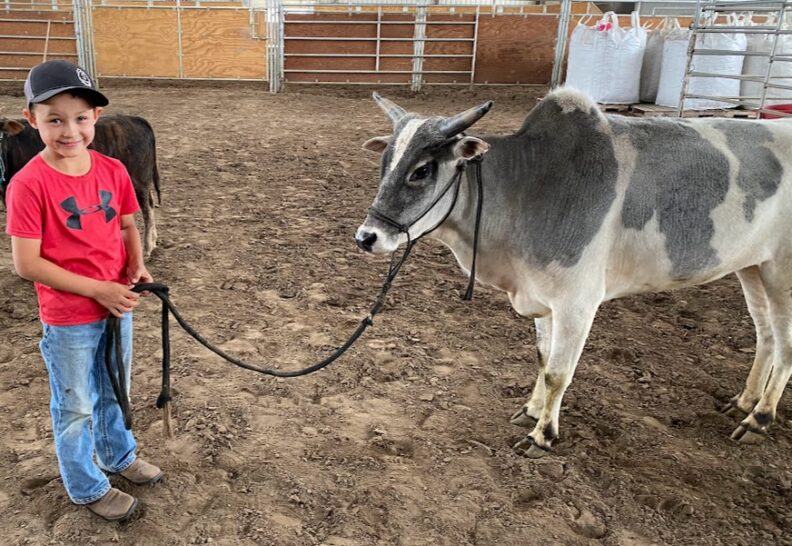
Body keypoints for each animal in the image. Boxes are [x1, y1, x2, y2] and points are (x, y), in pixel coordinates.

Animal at [1, 114, 161, 258]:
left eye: (0, 138)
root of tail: (135, 119)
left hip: (139, 179)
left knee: (146, 208)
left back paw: (147, 247)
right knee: (151, 203)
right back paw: (153, 241)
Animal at [355, 88, 792, 458]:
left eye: (422, 170)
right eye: (384, 164)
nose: (366, 236)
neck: (532, 187)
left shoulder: (576, 303)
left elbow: (558, 374)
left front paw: (543, 436)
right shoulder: (543, 299)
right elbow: (543, 358)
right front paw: (531, 412)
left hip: (781, 275)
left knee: (785, 347)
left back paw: (759, 419)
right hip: (752, 268)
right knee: (766, 337)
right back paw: (744, 400)